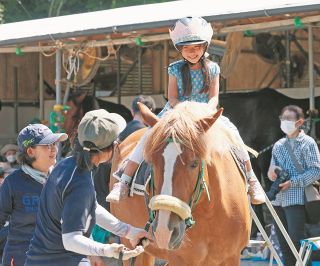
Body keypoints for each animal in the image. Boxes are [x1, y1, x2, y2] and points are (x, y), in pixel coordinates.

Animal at [111, 101, 251, 264]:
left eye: (194, 163)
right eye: (152, 162)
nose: (165, 231)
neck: (211, 212)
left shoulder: (232, 257)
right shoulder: (180, 260)